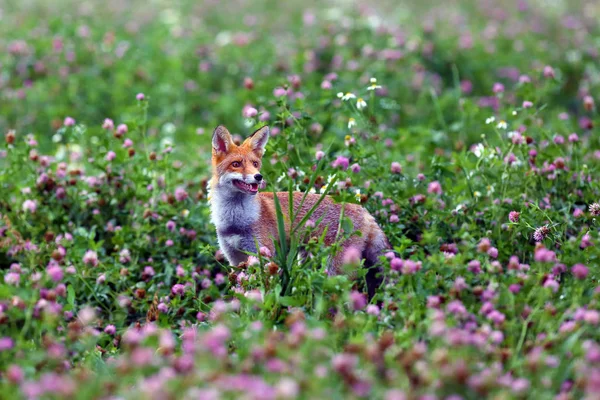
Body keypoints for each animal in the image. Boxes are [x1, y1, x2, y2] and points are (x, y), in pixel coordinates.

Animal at [209, 125, 392, 296]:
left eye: (255, 164)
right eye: (236, 164)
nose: (258, 177)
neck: (236, 222)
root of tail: (364, 210)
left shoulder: (264, 255)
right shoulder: (235, 259)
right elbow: (241, 288)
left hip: (337, 269)